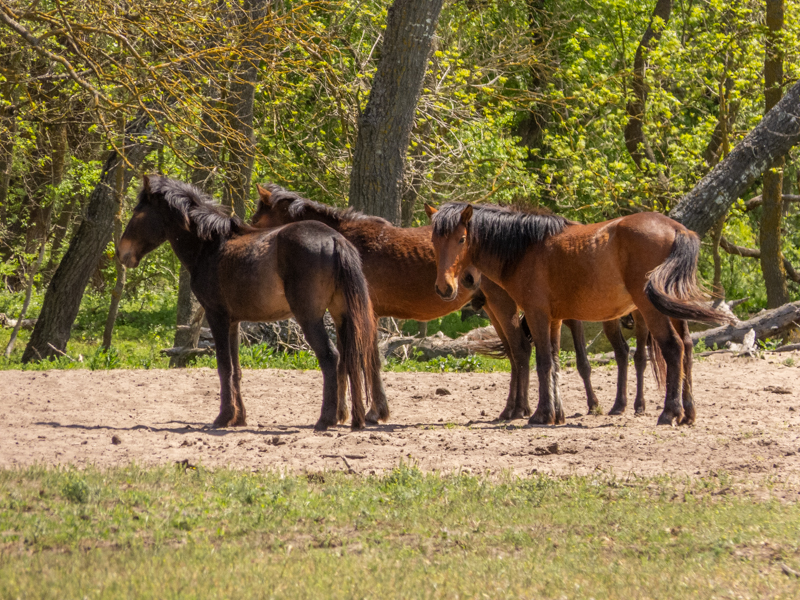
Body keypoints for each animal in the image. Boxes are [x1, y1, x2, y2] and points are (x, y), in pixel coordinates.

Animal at [117, 175, 382, 431]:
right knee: (351, 358)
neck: (210, 246)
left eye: (137, 213)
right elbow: (236, 369)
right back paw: (356, 419)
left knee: (330, 357)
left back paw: (326, 419)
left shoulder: (217, 317)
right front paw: (239, 417)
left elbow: (224, 366)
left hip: (310, 317)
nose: (121, 253)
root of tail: (335, 239)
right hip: (342, 316)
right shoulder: (233, 323)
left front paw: (224, 417)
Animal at [252, 184, 645, 419]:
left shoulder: (368, 313)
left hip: (505, 307)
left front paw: (376, 411)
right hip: (496, 310)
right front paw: (350, 412)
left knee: (524, 351)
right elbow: (352, 360)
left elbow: (367, 359)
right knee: (519, 354)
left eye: (257, 217)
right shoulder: (349, 313)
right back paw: (517, 408)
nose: (248, 245)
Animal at [430, 202, 735, 427]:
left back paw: (669, 412)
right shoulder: (554, 319)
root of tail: (676, 229)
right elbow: (554, 363)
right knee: (687, 347)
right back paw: (687, 412)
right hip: (671, 309)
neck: (526, 247)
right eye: (434, 242)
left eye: (461, 239)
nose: (445, 287)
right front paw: (556, 413)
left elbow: (543, 362)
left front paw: (541, 414)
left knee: (673, 348)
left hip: (651, 310)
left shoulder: (537, 314)